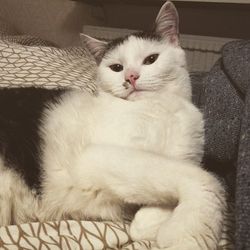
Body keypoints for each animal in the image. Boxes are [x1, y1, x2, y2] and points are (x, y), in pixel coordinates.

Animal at [0, 0, 226, 249]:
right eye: (117, 67)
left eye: (151, 59)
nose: (131, 77)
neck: (161, 107)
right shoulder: (100, 157)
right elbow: (205, 180)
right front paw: (187, 235)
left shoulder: (182, 157)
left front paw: (149, 223)